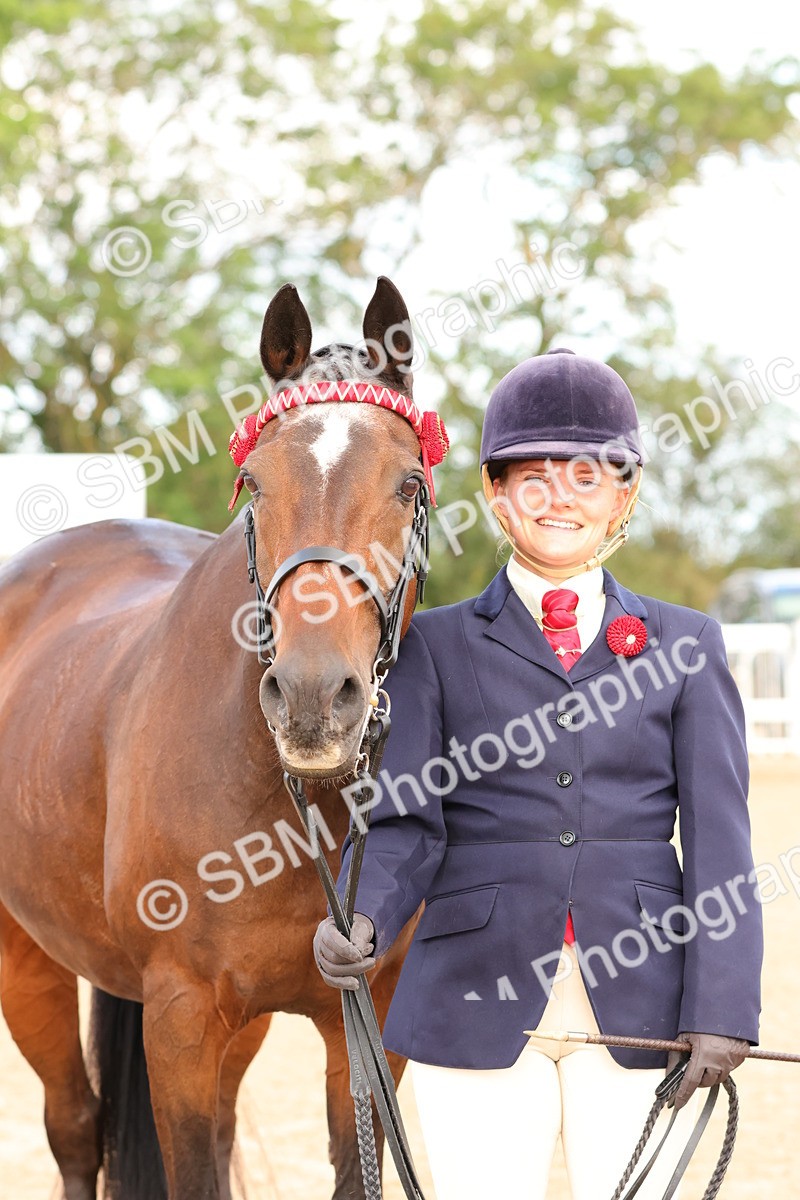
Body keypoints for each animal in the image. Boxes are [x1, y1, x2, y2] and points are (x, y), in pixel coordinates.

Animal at [0, 277, 434, 1200]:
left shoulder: (367, 1015)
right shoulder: (182, 1015)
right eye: (252, 481)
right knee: (75, 1130)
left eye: (409, 483)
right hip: (27, 958)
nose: (312, 699)